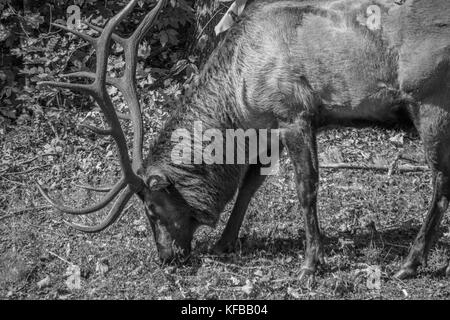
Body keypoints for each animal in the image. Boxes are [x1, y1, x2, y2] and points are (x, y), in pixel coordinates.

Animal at [37, 0, 450, 280]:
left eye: (152, 210)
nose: (166, 259)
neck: (241, 98)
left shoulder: (294, 112)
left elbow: (306, 188)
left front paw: (311, 263)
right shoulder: (271, 124)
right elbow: (249, 182)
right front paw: (224, 242)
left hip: (430, 98)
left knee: (441, 181)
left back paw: (410, 263)